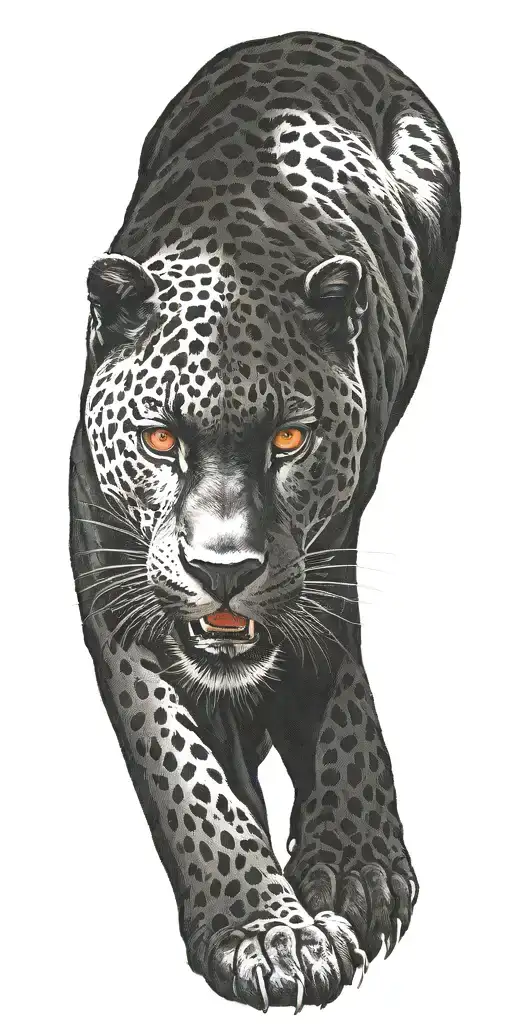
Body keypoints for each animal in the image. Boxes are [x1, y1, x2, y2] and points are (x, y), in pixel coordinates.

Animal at [69, 30, 460, 1011]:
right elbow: (185, 768)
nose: (223, 570)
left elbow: (336, 688)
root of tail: (315, 34)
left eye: (288, 437)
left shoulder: (327, 554)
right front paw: (265, 931)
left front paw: (355, 863)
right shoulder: (113, 588)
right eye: (160, 438)